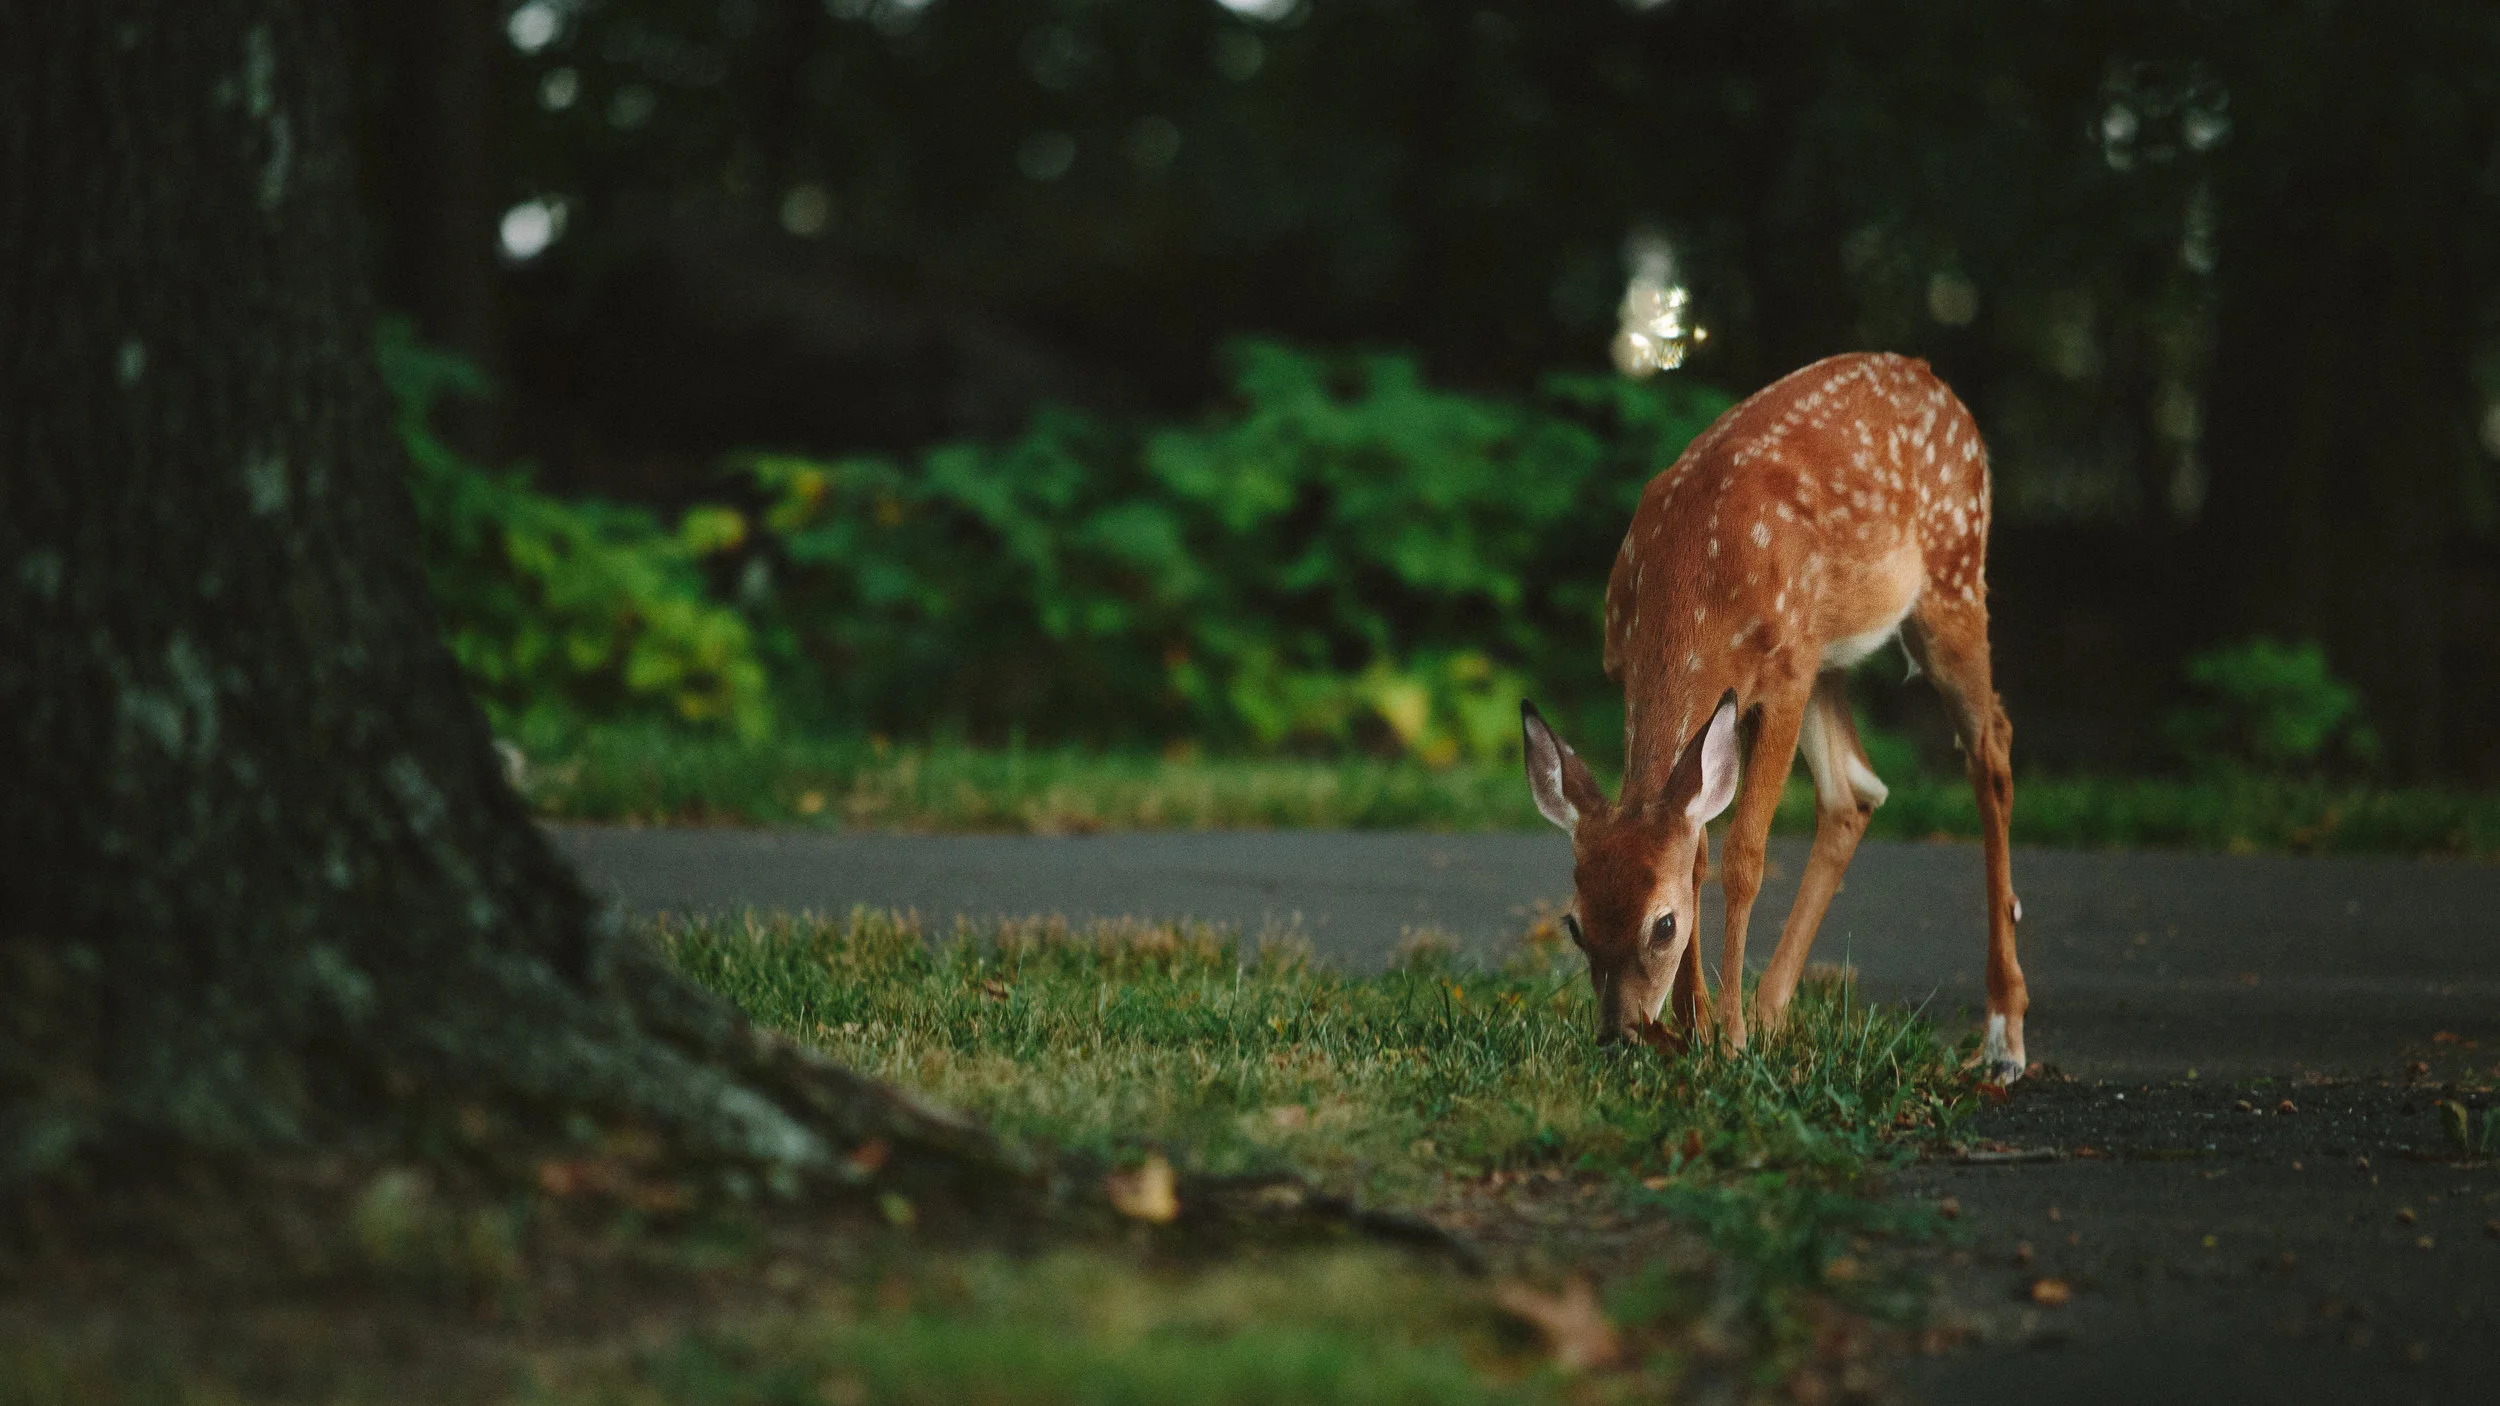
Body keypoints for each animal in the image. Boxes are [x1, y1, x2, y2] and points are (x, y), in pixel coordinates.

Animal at [1520, 352, 2028, 1083]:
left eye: (1663, 925)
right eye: (1575, 924)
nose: (1619, 1034)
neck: (1693, 583)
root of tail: (1934, 380)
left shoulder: (1783, 677)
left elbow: (1742, 857)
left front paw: (1725, 1038)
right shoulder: (1645, 673)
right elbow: (1697, 848)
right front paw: (1696, 1028)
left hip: (1951, 578)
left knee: (1991, 750)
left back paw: (2003, 1037)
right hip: (1830, 653)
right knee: (1855, 790)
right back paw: (1771, 1013)